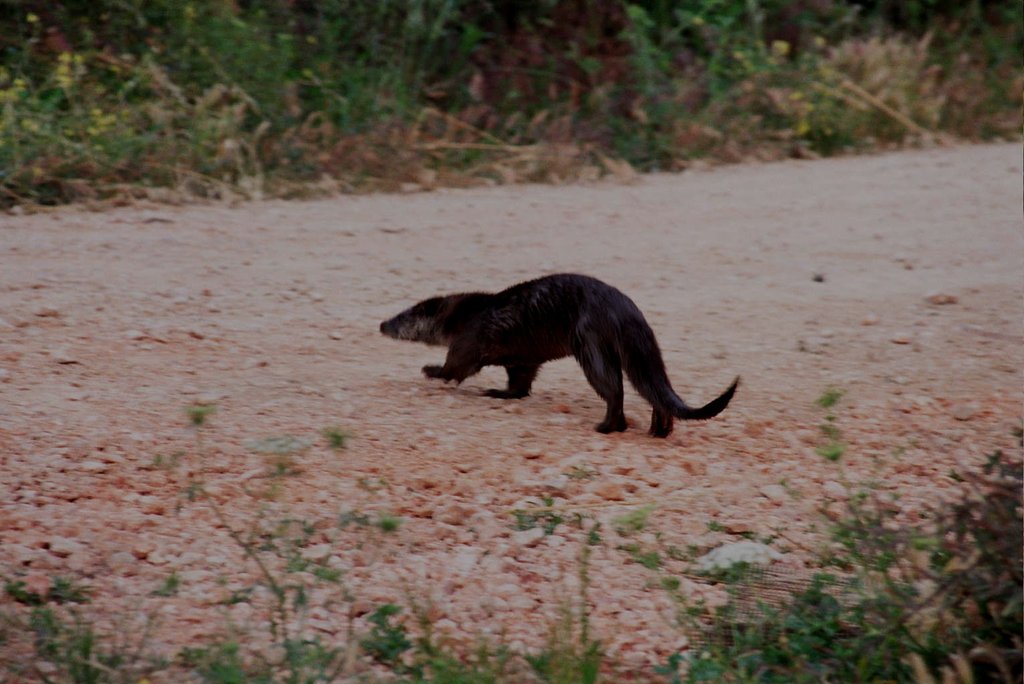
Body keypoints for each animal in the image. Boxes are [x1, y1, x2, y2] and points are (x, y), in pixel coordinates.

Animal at [379, 273, 738, 437]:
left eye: (402, 318)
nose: (382, 323)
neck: (465, 315)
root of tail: (626, 310)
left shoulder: (467, 341)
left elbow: (456, 368)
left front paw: (430, 369)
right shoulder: (520, 359)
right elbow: (519, 382)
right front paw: (498, 392)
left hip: (590, 341)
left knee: (615, 389)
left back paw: (607, 426)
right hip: (638, 349)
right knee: (651, 388)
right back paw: (658, 429)